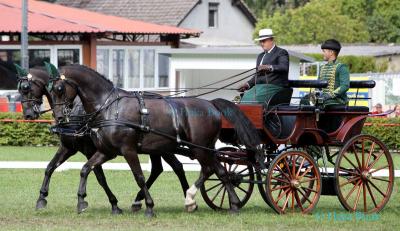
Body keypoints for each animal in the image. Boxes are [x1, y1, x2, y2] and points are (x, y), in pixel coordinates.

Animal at [5, 62, 189, 214]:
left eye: (26, 87)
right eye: (19, 89)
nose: (28, 115)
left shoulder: (90, 150)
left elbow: (99, 177)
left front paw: (111, 204)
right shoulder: (68, 148)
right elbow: (50, 167)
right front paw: (42, 198)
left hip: (161, 147)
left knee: (176, 166)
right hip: (155, 148)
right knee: (162, 168)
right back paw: (141, 200)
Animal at [47, 64, 260, 216]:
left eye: (59, 88)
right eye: (50, 90)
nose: (59, 118)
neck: (109, 107)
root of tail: (211, 104)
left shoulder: (128, 150)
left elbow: (139, 176)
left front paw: (149, 206)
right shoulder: (106, 151)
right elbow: (85, 169)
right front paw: (81, 201)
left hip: (200, 148)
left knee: (217, 171)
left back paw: (220, 203)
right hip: (196, 148)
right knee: (214, 170)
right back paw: (201, 201)